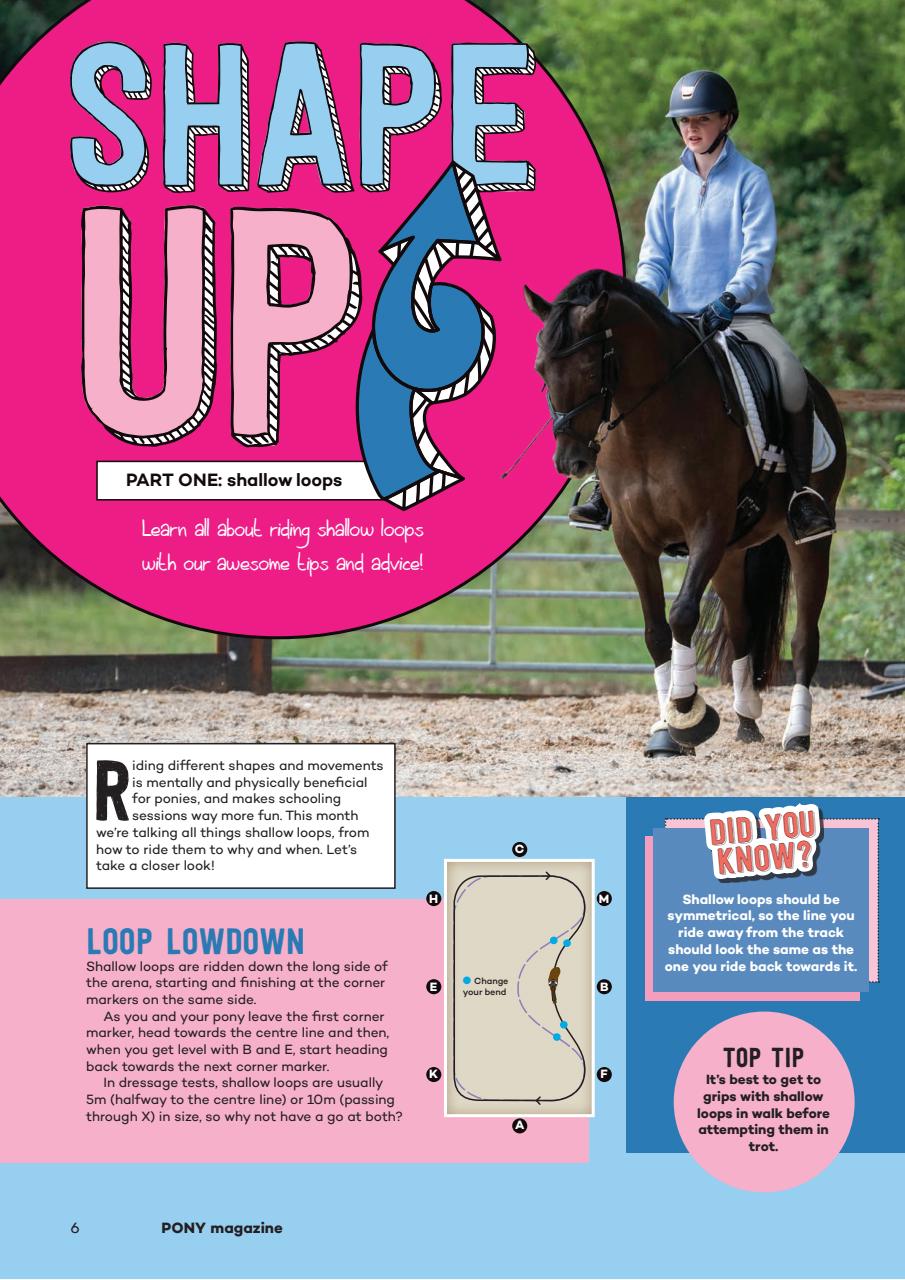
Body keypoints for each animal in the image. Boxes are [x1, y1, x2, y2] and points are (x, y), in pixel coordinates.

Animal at [524, 269, 847, 757]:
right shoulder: (633, 541)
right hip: (732, 553)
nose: (570, 461)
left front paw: (687, 714)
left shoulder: (706, 528)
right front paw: (665, 730)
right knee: (743, 626)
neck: (649, 422)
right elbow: (656, 630)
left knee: (805, 637)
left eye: (589, 369)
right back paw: (747, 719)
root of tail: (821, 393)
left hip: (806, 542)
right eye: (542, 369)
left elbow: (681, 615)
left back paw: (797, 734)